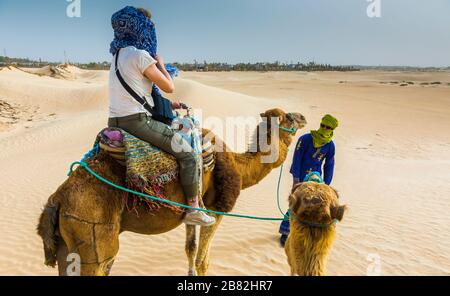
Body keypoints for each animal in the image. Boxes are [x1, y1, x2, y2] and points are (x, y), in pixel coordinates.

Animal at [37, 108, 306, 276]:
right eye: (287, 117)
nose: (303, 117)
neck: (239, 166)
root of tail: (56, 199)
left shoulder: (192, 210)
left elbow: (190, 249)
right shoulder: (217, 209)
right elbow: (203, 260)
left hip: (67, 242)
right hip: (91, 230)